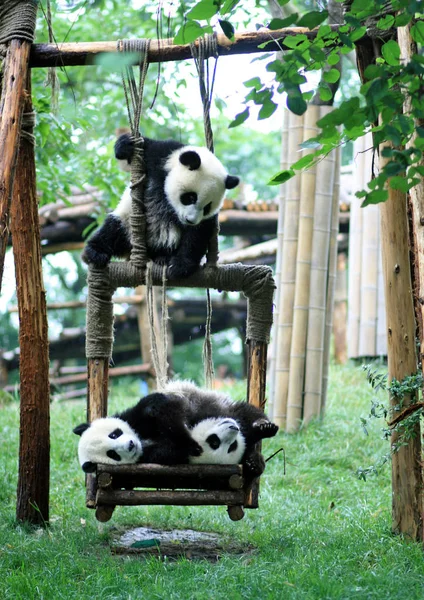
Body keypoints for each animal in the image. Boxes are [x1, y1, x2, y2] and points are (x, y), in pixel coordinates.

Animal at [73, 382, 278, 476]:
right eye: (113, 454)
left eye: (115, 434)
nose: (130, 445)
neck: (144, 440)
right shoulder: (154, 455)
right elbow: (170, 452)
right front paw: (190, 446)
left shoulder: (133, 416)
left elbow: (162, 408)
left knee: (241, 411)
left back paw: (263, 429)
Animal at [81, 134, 240, 278]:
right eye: (190, 197)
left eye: (207, 207)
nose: (190, 220)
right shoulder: (161, 158)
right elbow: (147, 148)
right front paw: (126, 145)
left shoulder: (205, 219)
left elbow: (197, 235)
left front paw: (179, 266)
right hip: (126, 223)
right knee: (112, 229)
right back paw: (96, 252)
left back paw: (163, 258)